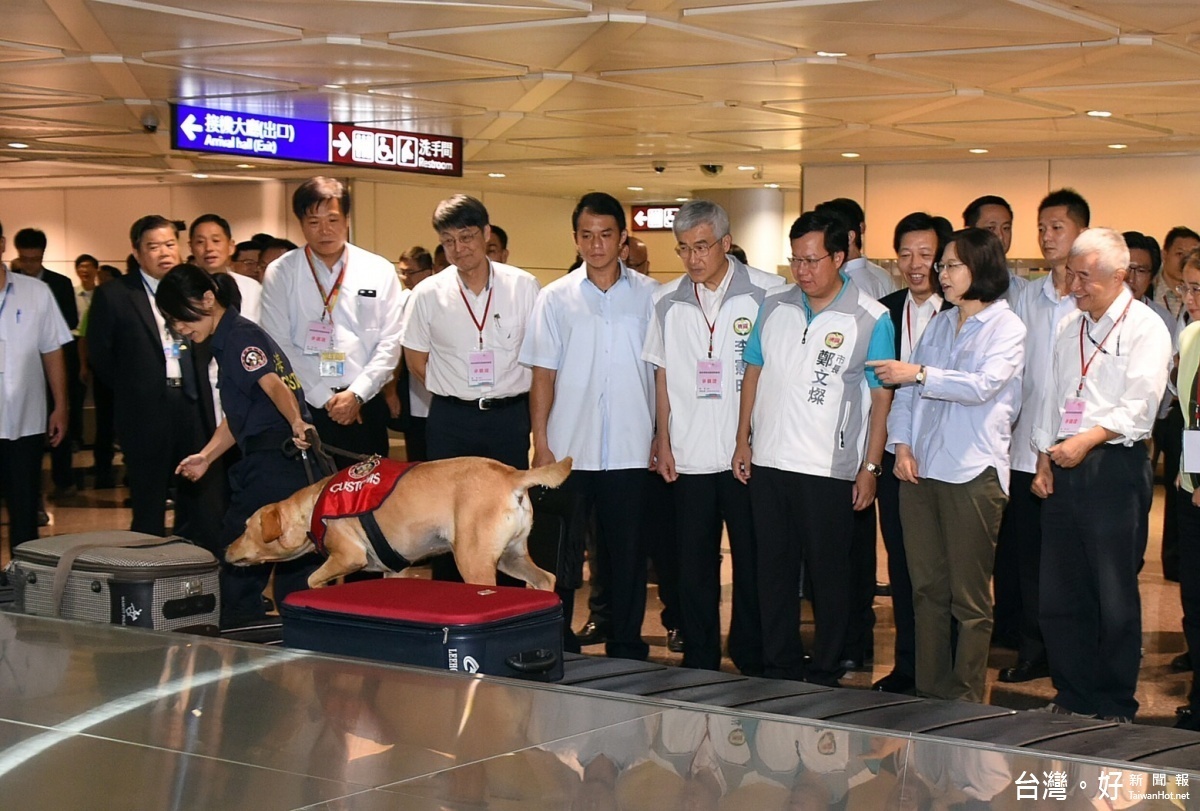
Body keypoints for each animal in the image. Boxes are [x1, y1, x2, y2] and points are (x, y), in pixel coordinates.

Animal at [229, 455, 576, 590]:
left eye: (245, 528)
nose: (226, 550)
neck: (314, 505)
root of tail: (511, 475)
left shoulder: (348, 556)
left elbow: (313, 579)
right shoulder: (393, 572)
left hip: (473, 561)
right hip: (511, 556)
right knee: (545, 579)